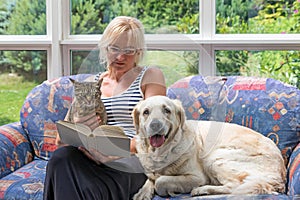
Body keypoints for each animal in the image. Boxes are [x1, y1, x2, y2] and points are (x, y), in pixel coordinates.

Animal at [132, 96, 288, 199]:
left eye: (167, 110)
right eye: (146, 112)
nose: (155, 125)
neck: (161, 151)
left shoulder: (197, 177)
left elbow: (160, 181)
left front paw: (168, 190)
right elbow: (151, 178)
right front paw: (143, 193)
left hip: (215, 158)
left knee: (235, 186)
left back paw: (203, 191)